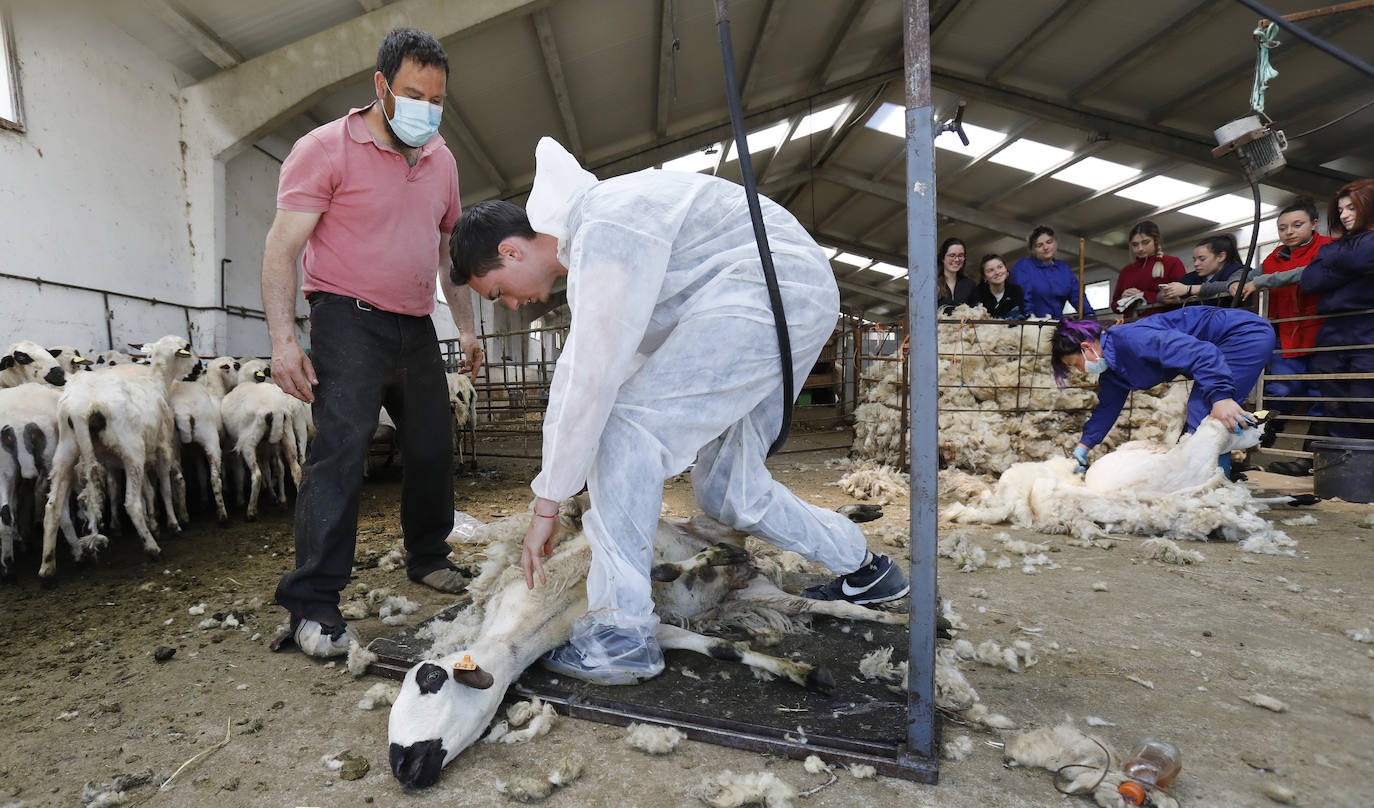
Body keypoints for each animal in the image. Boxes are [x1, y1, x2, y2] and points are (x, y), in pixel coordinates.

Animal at [387, 502, 906, 786]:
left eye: (429, 676)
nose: (403, 767)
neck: (529, 625)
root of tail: (749, 571)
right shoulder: (655, 628)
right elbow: (720, 649)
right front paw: (806, 674)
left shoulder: (597, 563)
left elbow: (660, 569)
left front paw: (695, 564)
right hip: (757, 593)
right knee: (827, 602)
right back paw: (886, 611)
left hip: (719, 527)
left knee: (763, 526)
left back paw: (856, 517)